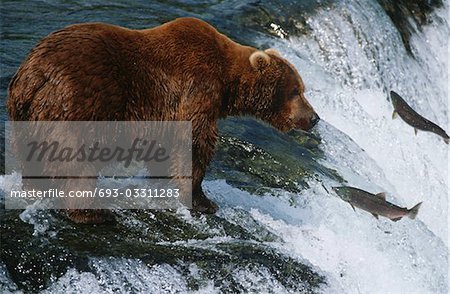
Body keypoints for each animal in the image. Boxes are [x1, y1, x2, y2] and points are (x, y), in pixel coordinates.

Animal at [6, 16, 316, 223]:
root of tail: (33, 74)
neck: (227, 81)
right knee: (77, 160)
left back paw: (36, 191)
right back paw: (91, 212)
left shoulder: (166, 115)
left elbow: (167, 148)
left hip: (26, 115)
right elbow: (195, 145)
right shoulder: (197, 89)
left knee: (31, 154)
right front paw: (203, 201)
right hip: (79, 105)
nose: (314, 118)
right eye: (296, 90)